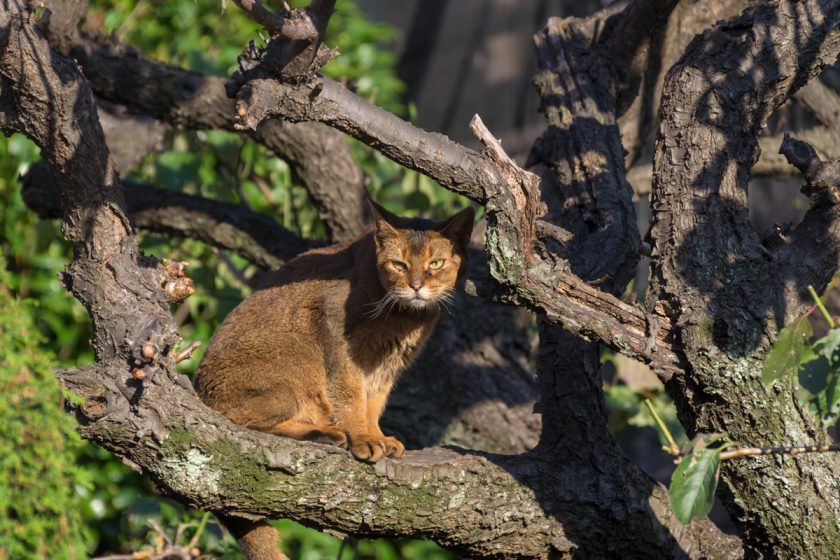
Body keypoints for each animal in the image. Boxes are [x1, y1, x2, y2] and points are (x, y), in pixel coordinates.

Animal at [194, 199, 476, 462]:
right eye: (399, 265)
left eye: (436, 263)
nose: (416, 286)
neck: (405, 317)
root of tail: (201, 392)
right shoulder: (337, 336)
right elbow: (351, 397)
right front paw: (363, 438)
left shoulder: (389, 361)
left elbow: (375, 401)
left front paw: (377, 436)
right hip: (294, 363)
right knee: (236, 417)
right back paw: (323, 432)